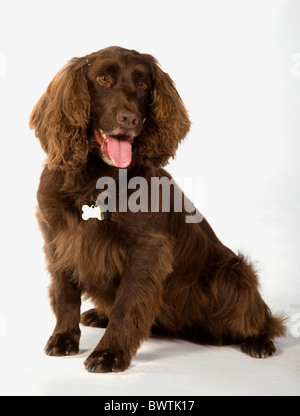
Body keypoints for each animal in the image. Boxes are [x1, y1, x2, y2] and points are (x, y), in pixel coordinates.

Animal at [30, 47, 286, 372]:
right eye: (103, 79)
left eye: (142, 84)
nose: (130, 118)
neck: (97, 180)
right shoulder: (56, 236)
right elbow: (65, 294)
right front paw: (64, 338)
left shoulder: (147, 248)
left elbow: (126, 305)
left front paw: (109, 353)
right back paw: (98, 314)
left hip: (231, 273)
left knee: (263, 318)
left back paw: (259, 341)